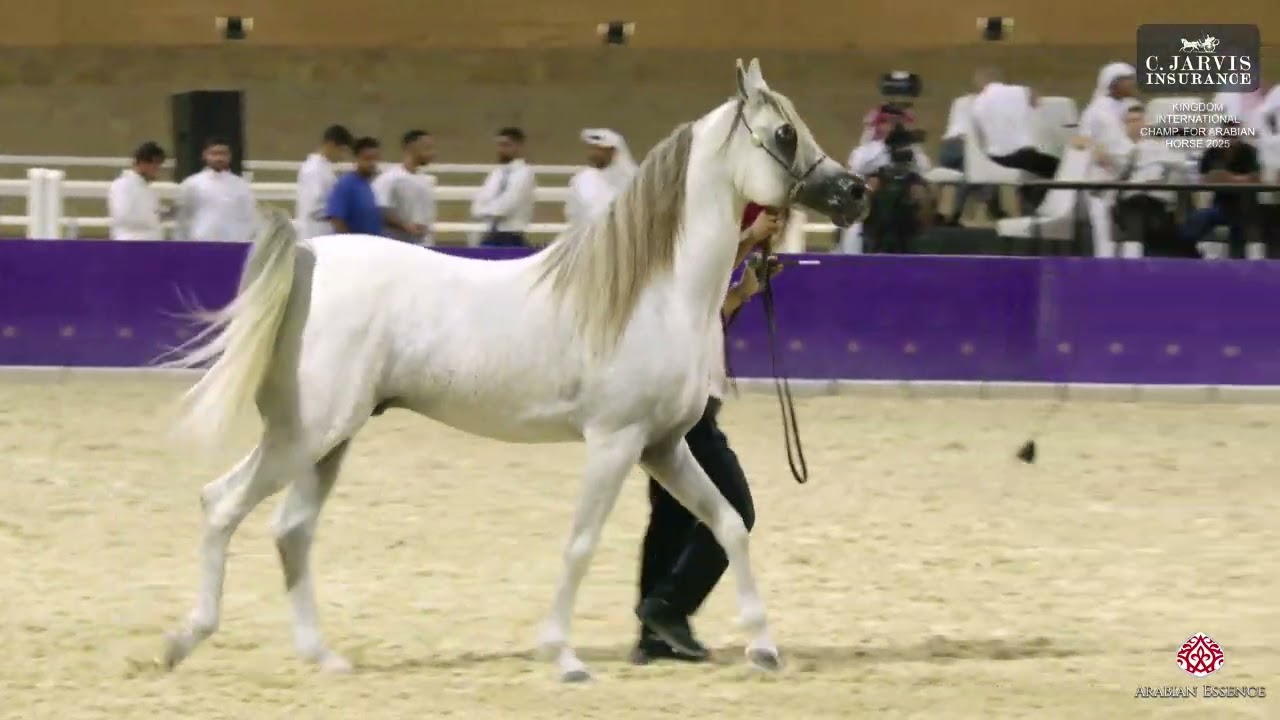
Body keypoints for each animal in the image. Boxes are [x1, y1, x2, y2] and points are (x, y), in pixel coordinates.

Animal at [157, 58, 864, 682]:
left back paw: (323, 658)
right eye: (784, 133)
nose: (855, 192)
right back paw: (183, 640)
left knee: (291, 532)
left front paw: (763, 648)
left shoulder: (662, 447)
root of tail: (308, 257)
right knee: (222, 504)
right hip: (304, 434)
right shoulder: (615, 443)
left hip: (328, 441)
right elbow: (581, 543)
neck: (652, 294)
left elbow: (727, 525)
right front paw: (564, 657)